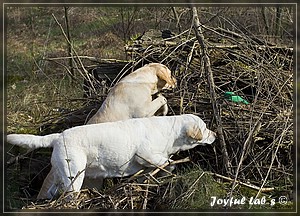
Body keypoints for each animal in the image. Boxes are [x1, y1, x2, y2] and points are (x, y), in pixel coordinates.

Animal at [6, 114, 216, 200]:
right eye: (205, 128)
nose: (215, 134)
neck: (170, 131)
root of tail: (58, 136)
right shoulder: (145, 155)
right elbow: (167, 162)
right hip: (74, 177)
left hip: (61, 175)